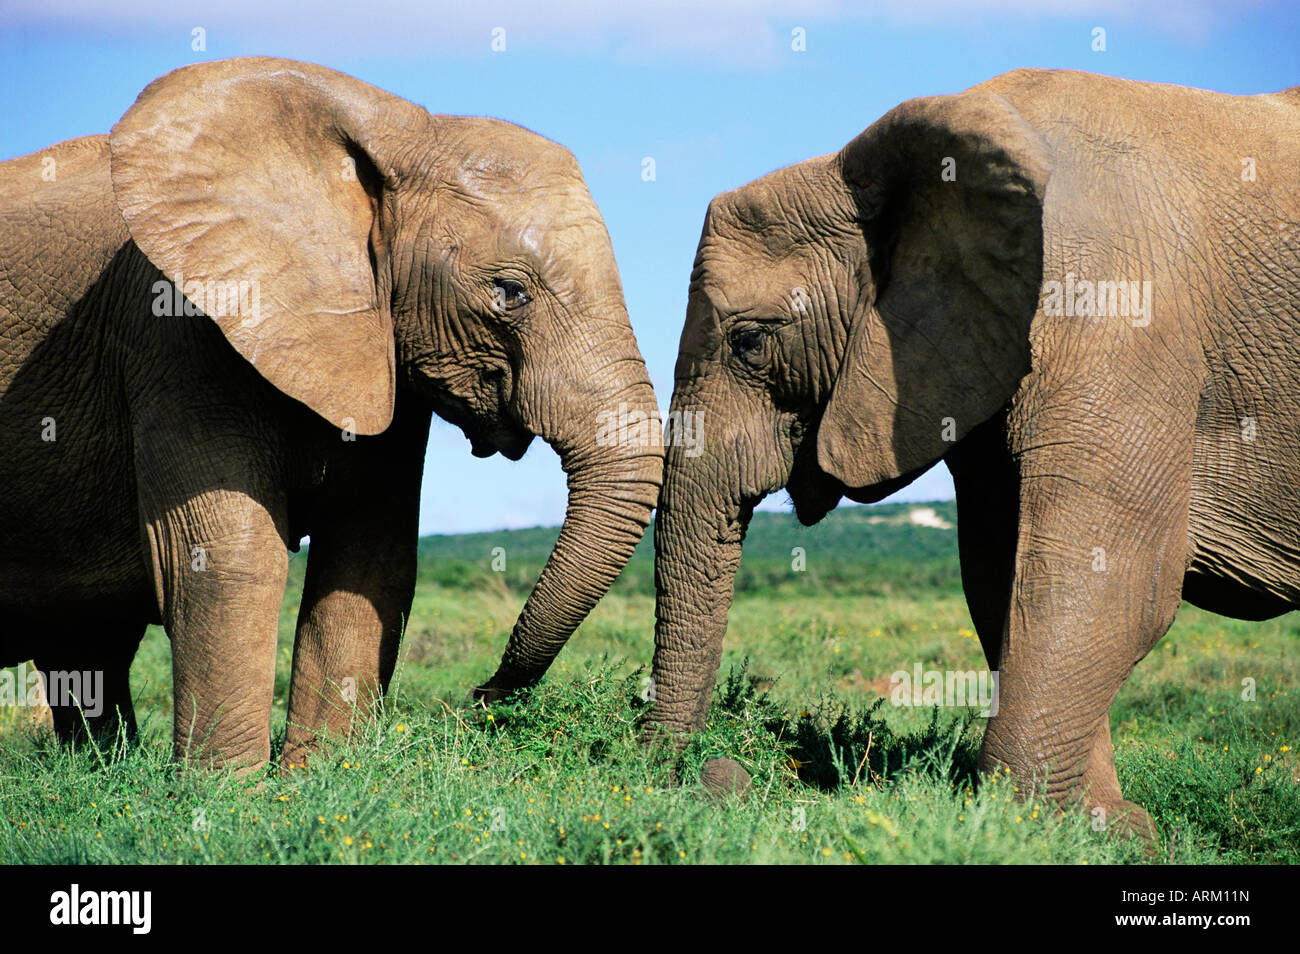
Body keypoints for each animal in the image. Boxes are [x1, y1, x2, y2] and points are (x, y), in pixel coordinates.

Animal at [0, 55, 665, 774]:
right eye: (508, 293)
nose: (482, 695)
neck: (401, 130)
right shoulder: (176, 325)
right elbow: (229, 557)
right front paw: (228, 791)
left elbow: (369, 556)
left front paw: (319, 778)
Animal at [650, 70, 1300, 842]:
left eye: (750, 342)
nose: (719, 775)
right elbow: (1000, 576)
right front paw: (1098, 827)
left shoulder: (1122, 316)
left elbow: (1107, 582)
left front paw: (1031, 824)